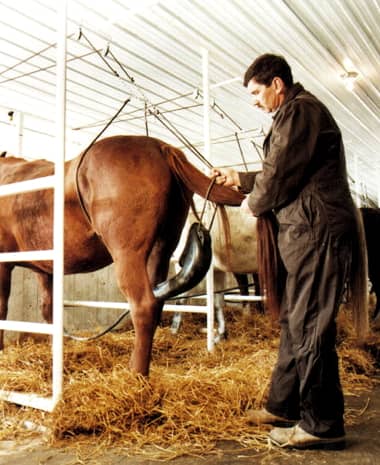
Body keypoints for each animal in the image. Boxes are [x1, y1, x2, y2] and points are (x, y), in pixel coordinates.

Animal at [0, 134, 243, 374]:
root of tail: (160, 147)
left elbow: (3, 308)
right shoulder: (45, 268)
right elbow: (48, 310)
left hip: (128, 256)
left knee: (144, 305)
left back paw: (136, 372)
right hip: (161, 251)